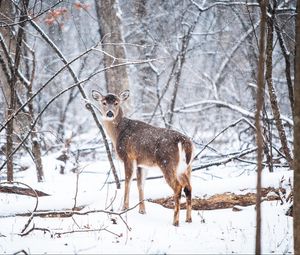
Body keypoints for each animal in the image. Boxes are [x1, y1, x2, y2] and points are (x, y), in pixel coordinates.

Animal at [92, 89, 195, 225]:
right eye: (103, 102)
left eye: (116, 103)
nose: (109, 113)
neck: (118, 133)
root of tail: (184, 142)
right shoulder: (142, 163)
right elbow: (140, 185)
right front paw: (142, 210)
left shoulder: (128, 157)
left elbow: (128, 181)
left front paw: (124, 208)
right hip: (186, 167)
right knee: (188, 187)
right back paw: (188, 219)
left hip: (167, 163)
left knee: (178, 187)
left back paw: (175, 222)